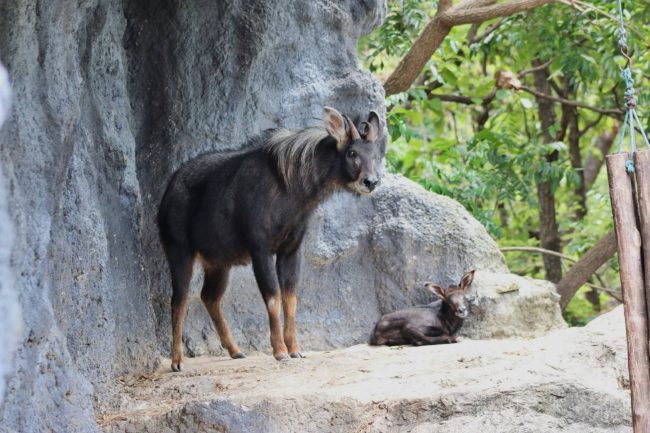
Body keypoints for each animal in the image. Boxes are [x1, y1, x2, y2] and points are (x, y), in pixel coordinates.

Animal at [158, 106, 380, 370]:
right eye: (352, 152)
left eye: (376, 154)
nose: (371, 181)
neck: (293, 190)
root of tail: (166, 195)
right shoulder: (260, 249)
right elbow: (273, 298)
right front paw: (280, 351)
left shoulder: (290, 249)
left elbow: (290, 298)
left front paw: (295, 349)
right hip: (179, 252)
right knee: (178, 300)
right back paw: (177, 361)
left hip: (219, 263)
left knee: (209, 296)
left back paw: (235, 351)